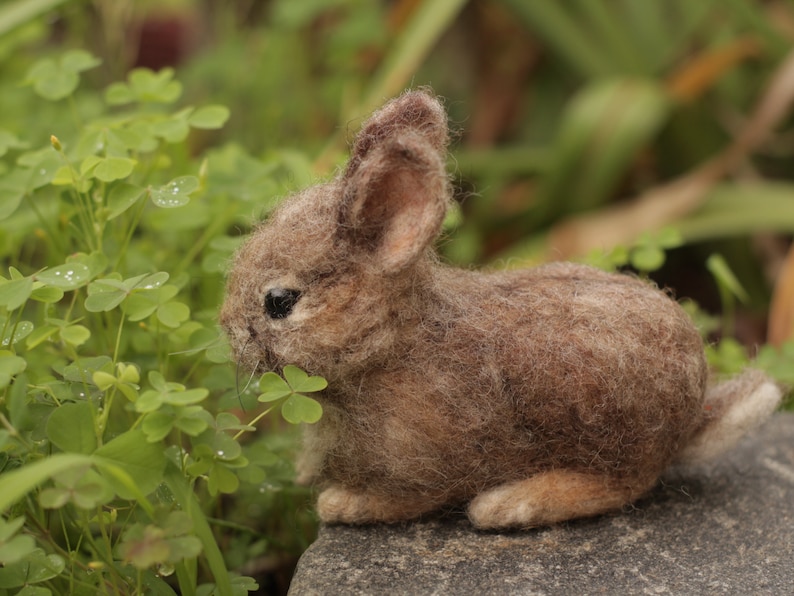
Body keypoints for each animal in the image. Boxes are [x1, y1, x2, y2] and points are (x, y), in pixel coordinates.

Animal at [221, 91, 780, 528]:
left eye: (279, 302)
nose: (228, 331)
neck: (389, 347)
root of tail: (693, 413)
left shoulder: (429, 462)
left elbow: (406, 498)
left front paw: (340, 503)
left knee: (626, 483)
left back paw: (513, 504)